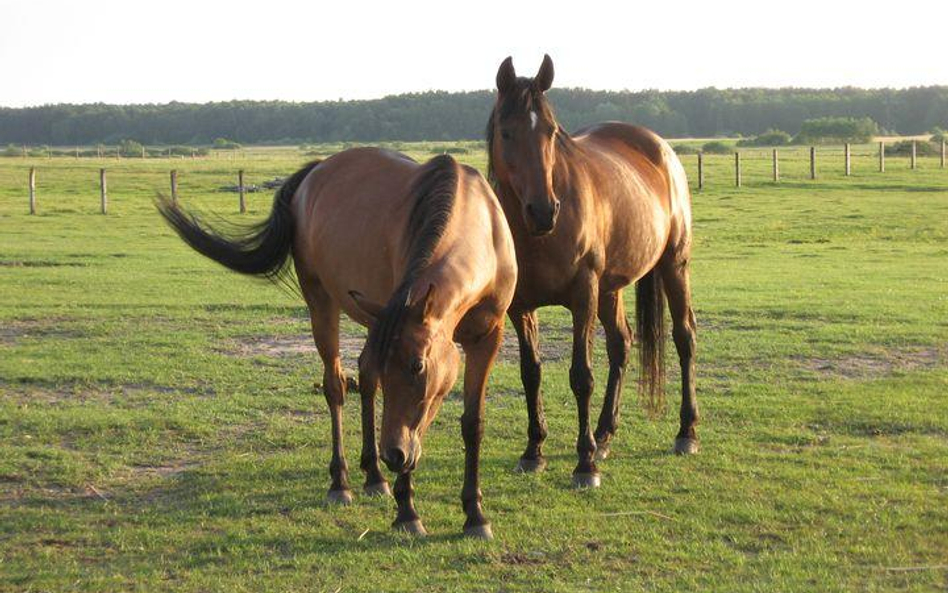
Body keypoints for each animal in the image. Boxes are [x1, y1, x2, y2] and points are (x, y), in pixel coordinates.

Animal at [160, 148, 524, 536]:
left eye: (418, 365)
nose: (392, 454)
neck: (479, 233)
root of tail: (315, 171)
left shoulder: (487, 337)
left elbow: (472, 423)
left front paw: (475, 514)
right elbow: (412, 426)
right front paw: (407, 513)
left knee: (364, 379)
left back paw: (374, 476)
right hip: (321, 301)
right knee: (336, 385)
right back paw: (342, 482)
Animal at [488, 55, 696, 486]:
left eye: (551, 132)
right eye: (506, 132)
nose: (543, 210)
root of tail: (659, 148)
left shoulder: (583, 293)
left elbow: (581, 376)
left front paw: (584, 464)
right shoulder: (521, 307)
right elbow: (530, 373)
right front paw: (533, 450)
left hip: (673, 265)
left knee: (684, 337)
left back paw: (686, 432)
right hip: (611, 290)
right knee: (622, 344)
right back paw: (603, 434)